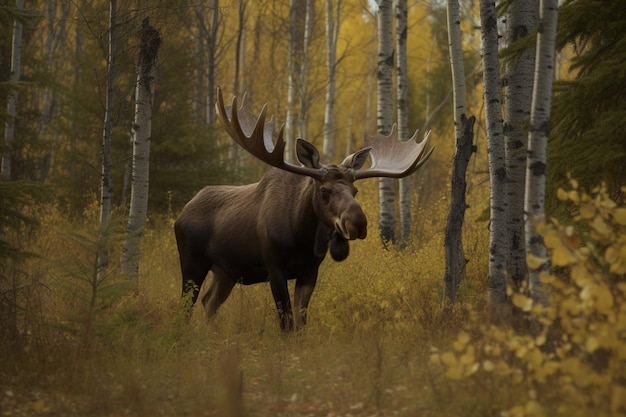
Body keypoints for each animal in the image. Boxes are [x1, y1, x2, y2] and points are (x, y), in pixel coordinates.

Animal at [173, 89, 432, 330]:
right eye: (324, 190)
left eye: (355, 190)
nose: (357, 223)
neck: (303, 238)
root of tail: (181, 214)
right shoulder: (274, 267)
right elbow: (286, 323)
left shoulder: (309, 271)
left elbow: (301, 323)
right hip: (192, 262)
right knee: (186, 306)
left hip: (225, 272)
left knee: (209, 302)